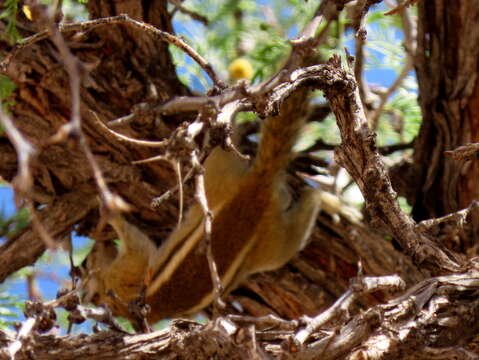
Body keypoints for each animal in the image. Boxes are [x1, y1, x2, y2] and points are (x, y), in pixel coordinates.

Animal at [80, 89, 324, 324]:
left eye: (85, 262)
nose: (98, 245)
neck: (111, 295)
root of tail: (257, 185)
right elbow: (139, 244)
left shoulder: (126, 270)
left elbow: (136, 242)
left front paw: (106, 207)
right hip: (268, 239)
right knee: (295, 233)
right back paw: (316, 195)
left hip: (215, 173)